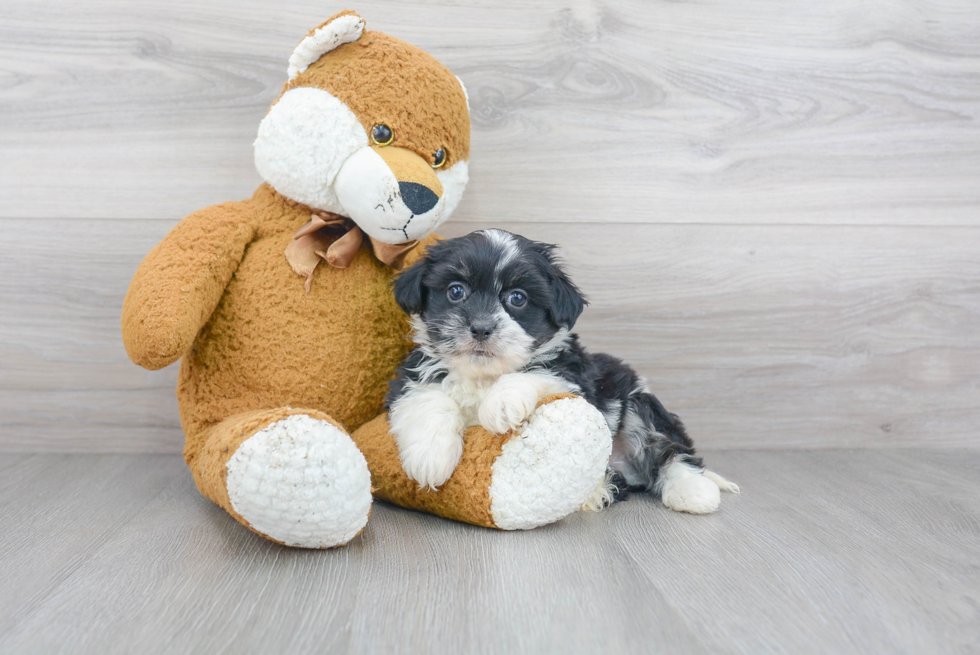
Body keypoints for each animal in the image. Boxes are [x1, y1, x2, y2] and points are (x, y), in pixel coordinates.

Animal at [386, 229, 740, 512]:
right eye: (456, 291)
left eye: (517, 298)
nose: (481, 327)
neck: (483, 375)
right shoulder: (411, 376)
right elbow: (428, 399)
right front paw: (430, 456)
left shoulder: (572, 378)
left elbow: (536, 374)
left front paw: (500, 404)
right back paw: (598, 492)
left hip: (639, 403)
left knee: (670, 450)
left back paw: (693, 490)